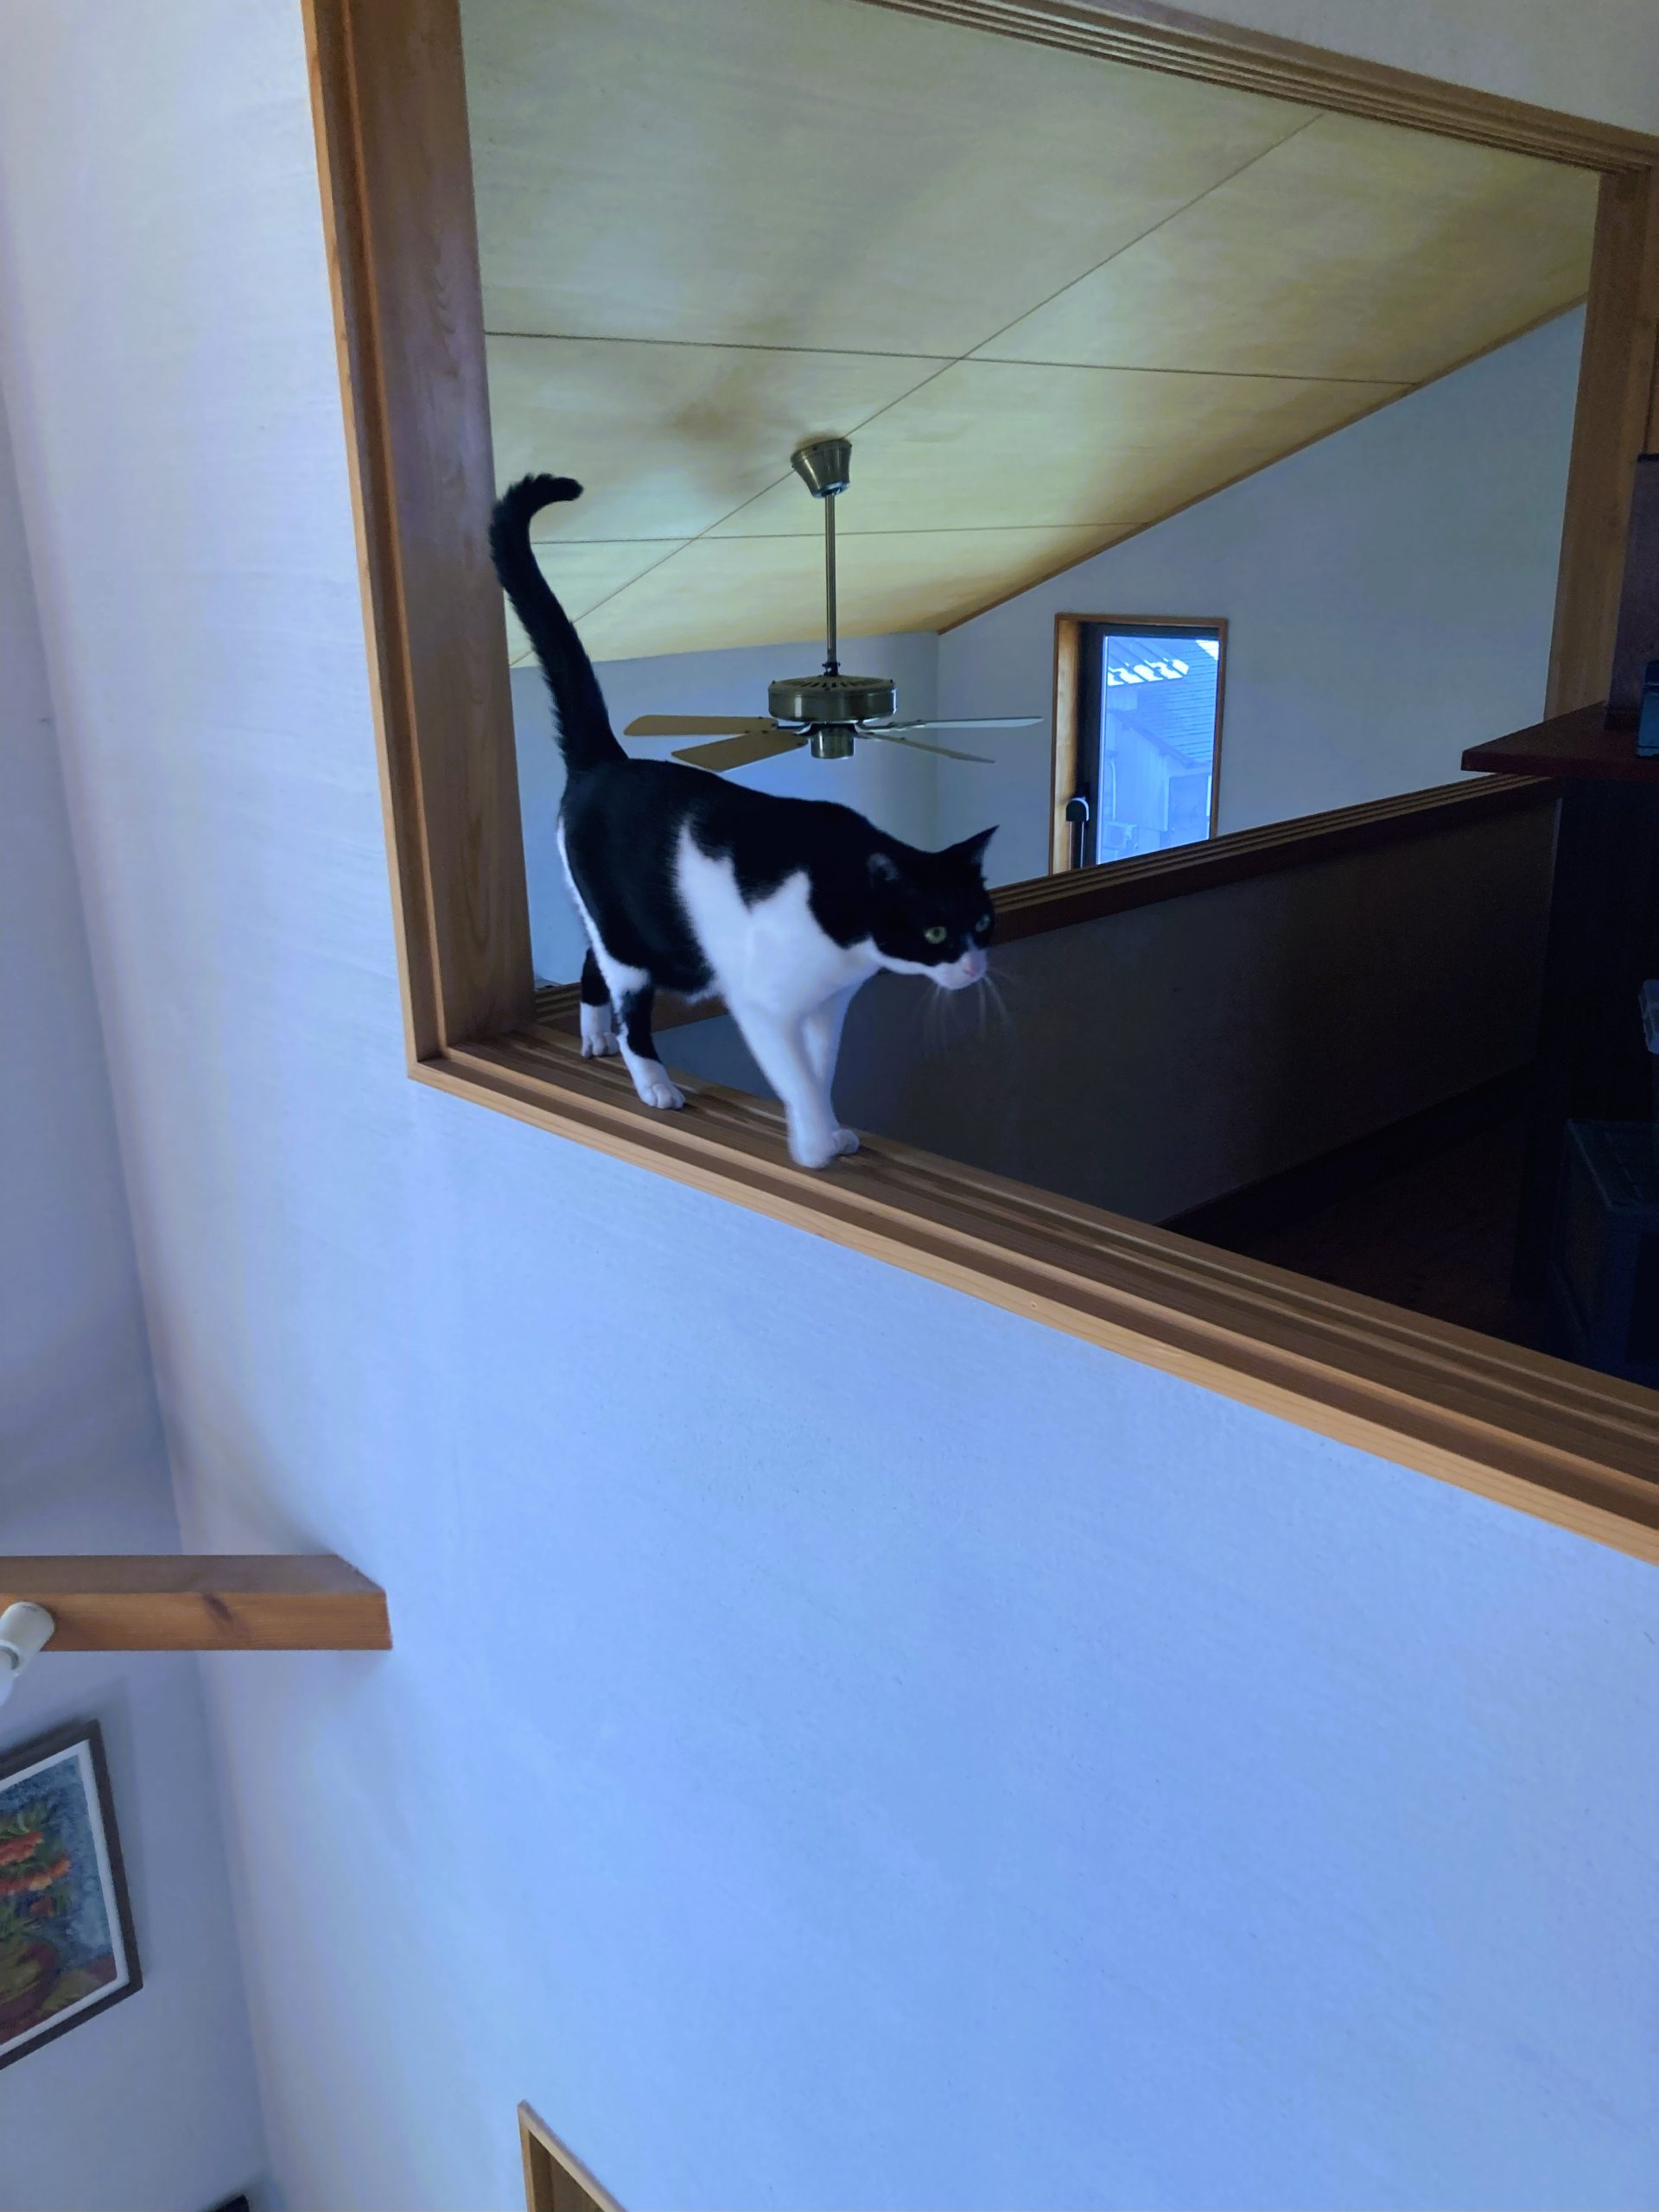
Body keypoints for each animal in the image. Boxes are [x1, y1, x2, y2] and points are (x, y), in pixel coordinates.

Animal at [490, 472, 996, 1169]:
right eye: (938, 932)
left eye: (983, 923)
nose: (976, 968)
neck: (842, 922)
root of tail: (607, 761)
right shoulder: (766, 1005)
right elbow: (796, 1075)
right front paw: (814, 1147)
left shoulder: (827, 1006)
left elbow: (822, 1067)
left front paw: (831, 1129)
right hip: (639, 939)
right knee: (629, 1005)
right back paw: (654, 1084)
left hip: (634, 925)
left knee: (594, 962)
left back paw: (592, 1037)